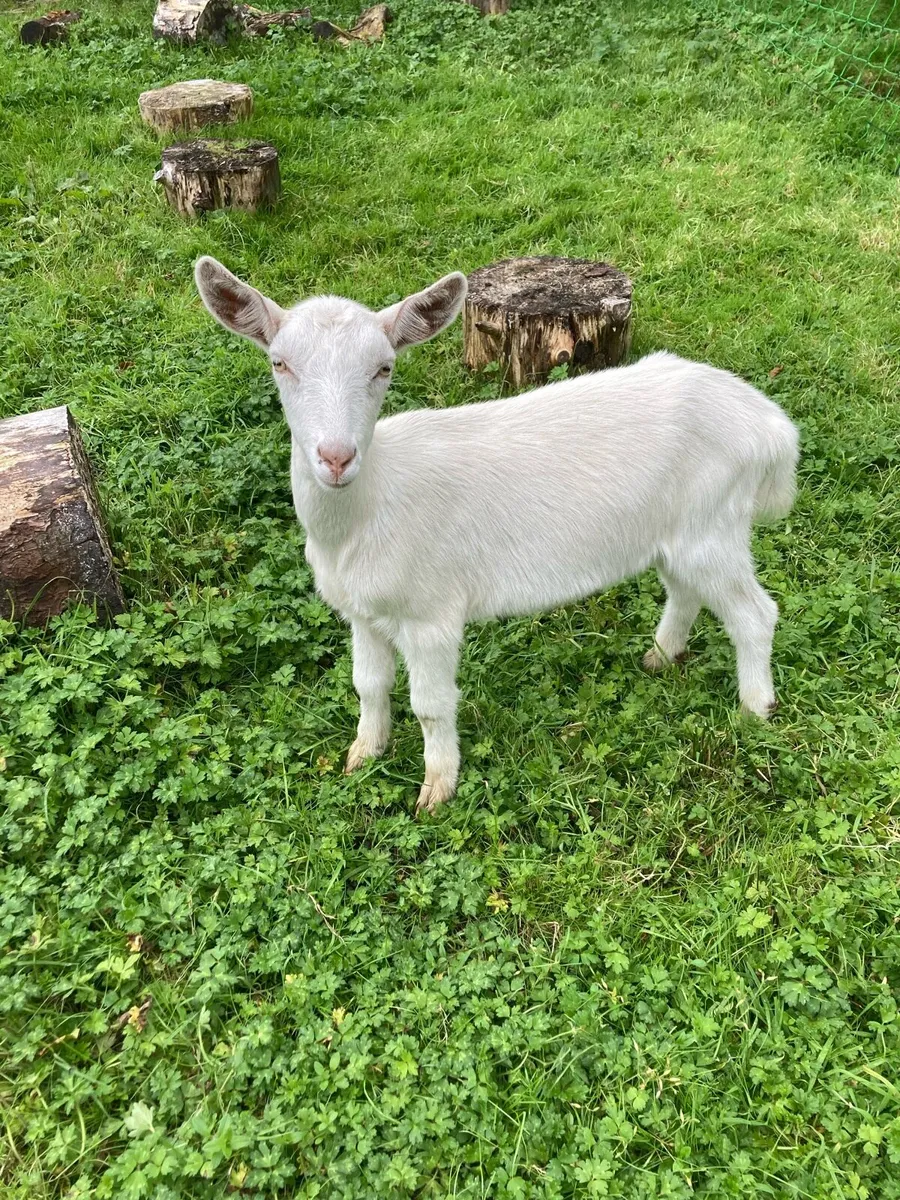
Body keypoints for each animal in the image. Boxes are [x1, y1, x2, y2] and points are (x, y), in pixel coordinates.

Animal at [195, 258, 799, 812]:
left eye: (384, 368)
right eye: (279, 363)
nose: (336, 458)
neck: (365, 512)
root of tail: (774, 427)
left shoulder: (432, 613)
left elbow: (431, 704)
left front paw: (436, 791)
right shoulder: (361, 612)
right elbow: (368, 684)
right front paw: (362, 757)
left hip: (713, 522)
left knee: (755, 614)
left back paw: (755, 711)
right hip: (680, 530)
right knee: (685, 591)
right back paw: (660, 656)